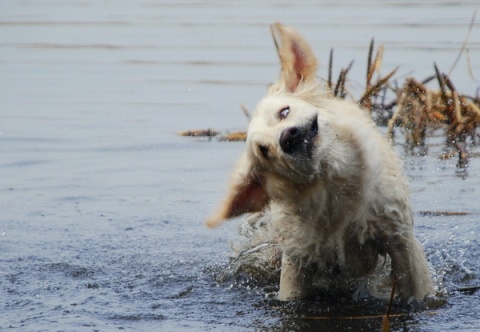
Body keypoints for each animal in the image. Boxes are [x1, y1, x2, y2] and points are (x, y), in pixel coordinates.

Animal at [204, 22, 434, 304]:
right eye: (265, 150)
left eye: (284, 112)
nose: (288, 137)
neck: (332, 185)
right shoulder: (298, 254)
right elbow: (290, 292)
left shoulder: (399, 237)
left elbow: (417, 287)